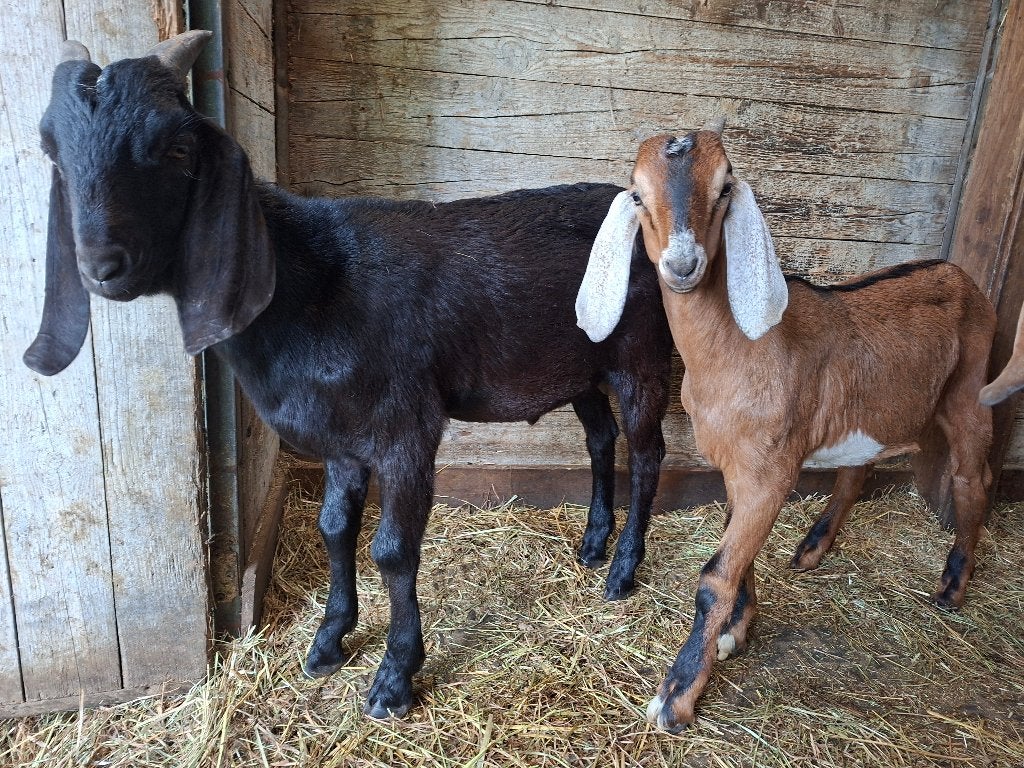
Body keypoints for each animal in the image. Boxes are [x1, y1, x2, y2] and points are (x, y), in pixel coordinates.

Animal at [25, 31, 675, 718]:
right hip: (582, 366)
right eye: (52, 149)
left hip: (640, 357)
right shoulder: (342, 437)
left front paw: (393, 678)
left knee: (647, 452)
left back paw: (622, 570)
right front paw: (329, 641)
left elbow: (391, 550)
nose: (101, 266)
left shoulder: (406, 427)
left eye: (176, 147)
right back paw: (593, 544)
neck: (313, 281)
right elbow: (334, 530)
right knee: (602, 440)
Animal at [576, 123, 996, 731]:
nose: (682, 265)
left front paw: (678, 695)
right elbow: (736, 552)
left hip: (970, 388)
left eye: (725, 187)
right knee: (859, 468)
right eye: (636, 193)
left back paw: (954, 583)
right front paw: (736, 631)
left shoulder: (769, 472)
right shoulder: (734, 466)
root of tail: (958, 273)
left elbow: (715, 576)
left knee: (971, 477)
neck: (738, 350)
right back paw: (812, 548)